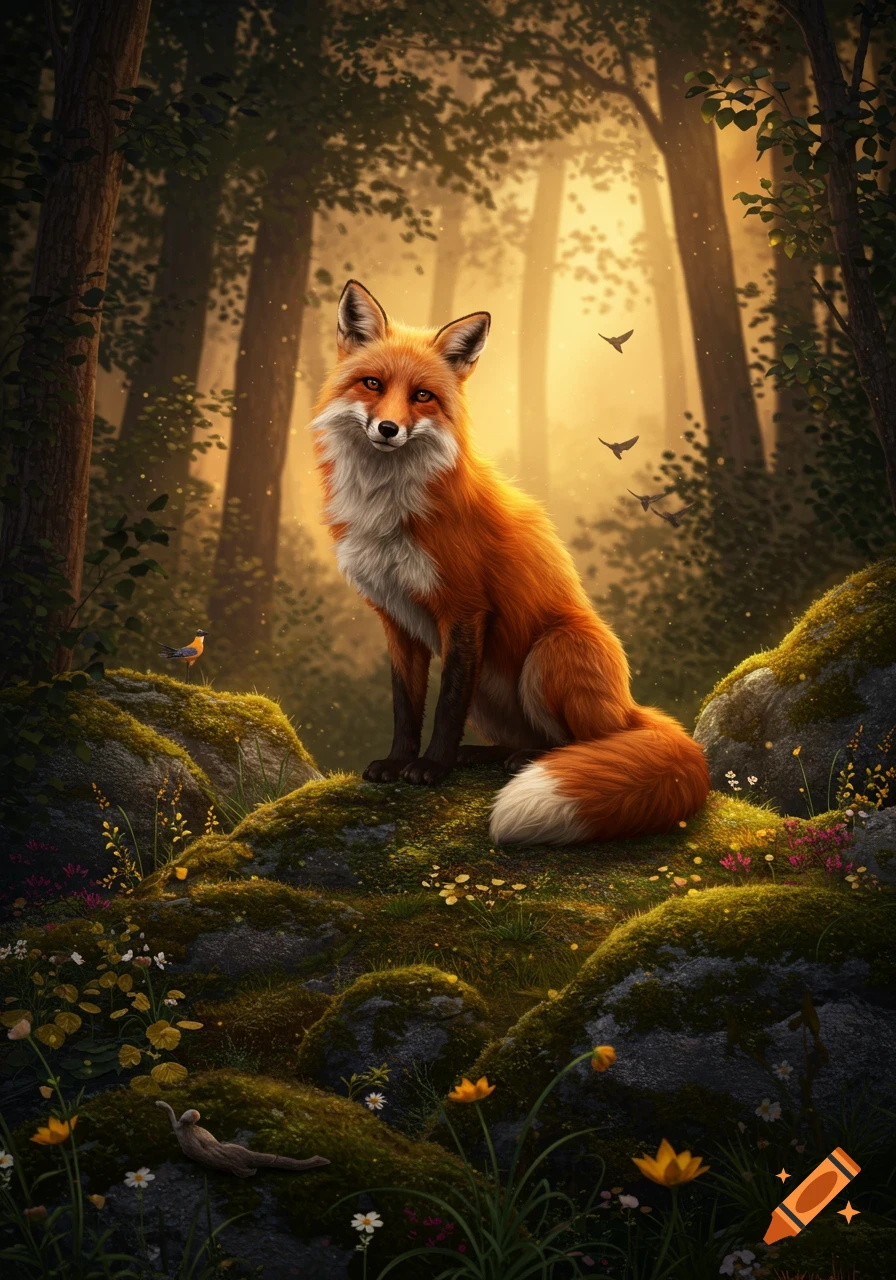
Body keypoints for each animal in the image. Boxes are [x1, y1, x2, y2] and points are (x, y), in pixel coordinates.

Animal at [310, 280, 710, 845]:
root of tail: (632, 709)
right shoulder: (396, 618)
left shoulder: (465, 608)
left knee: (582, 743)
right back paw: (485, 754)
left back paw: (524, 760)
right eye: (372, 383)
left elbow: (446, 705)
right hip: (492, 687)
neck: (389, 508)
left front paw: (430, 768)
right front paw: (398, 761)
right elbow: (406, 705)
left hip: (549, 655)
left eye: (422, 396)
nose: (388, 428)